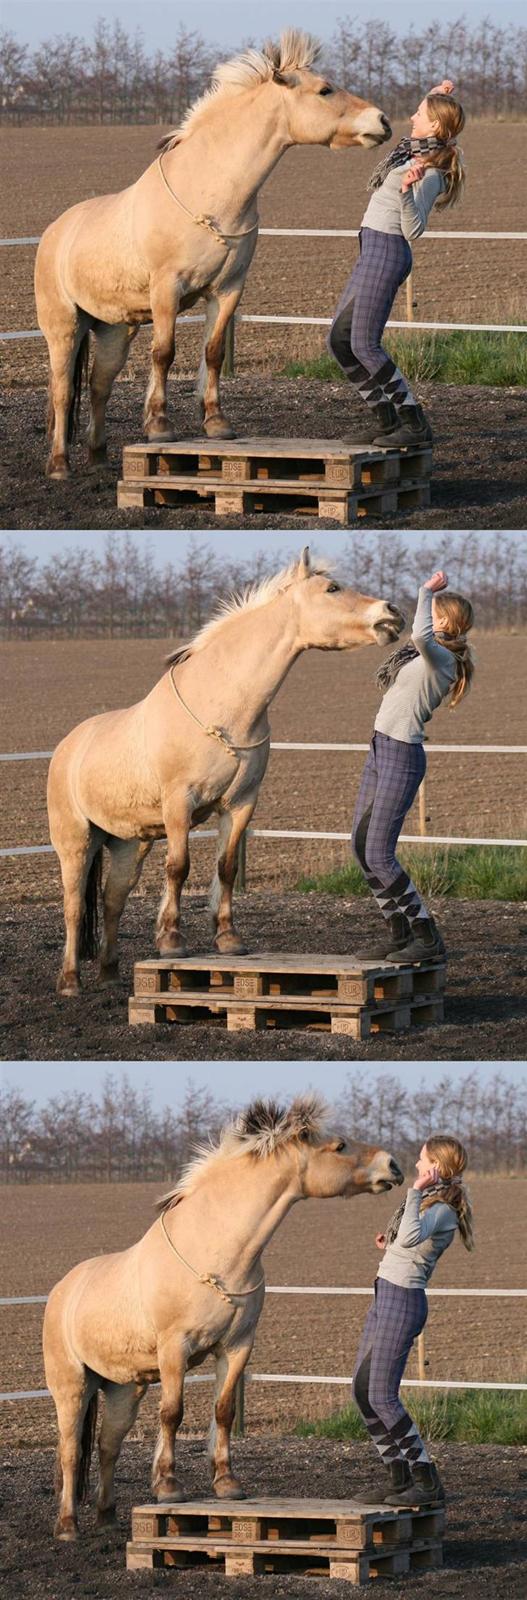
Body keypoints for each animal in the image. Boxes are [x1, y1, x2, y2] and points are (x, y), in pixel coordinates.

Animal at [31, 28, 386, 476]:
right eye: (325, 89)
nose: (382, 121)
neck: (209, 194)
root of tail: (54, 233)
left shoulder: (228, 289)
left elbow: (213, 353)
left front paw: (217, 423)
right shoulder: (166, 291)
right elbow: (164, 354)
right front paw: (159, 426)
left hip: (114, 329)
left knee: (98, 386)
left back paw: (97, 457)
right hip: (64, 326)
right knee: (62, 391)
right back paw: (59, 464)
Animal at [43, 1088, 402, 1536]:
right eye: (339, 1146)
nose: (393, 1165)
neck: (215, 1251)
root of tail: (62, 1291)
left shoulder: (236, 1347)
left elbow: (224, 1411)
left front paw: (227, 1483)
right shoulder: (174, 1351)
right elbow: (172, 1414)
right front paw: (168, 1487)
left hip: (124, 1388)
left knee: (108, 1446)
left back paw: (107, 1517)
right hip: (72, 1386)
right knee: (70, 1451)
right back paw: (67, 1525)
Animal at [47, 556, 403, 992]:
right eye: (332, 589)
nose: (391, 612)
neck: (221, 707)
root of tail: (67, 748)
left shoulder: (240, 804)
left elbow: (227, 867)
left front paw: (229, 939)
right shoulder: (179, 806)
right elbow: (179, 868)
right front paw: (171, 941)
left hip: (129, 844)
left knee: (113, 900)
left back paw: (111, 972)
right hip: (76, 842)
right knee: (74, 905)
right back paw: (69, 980)